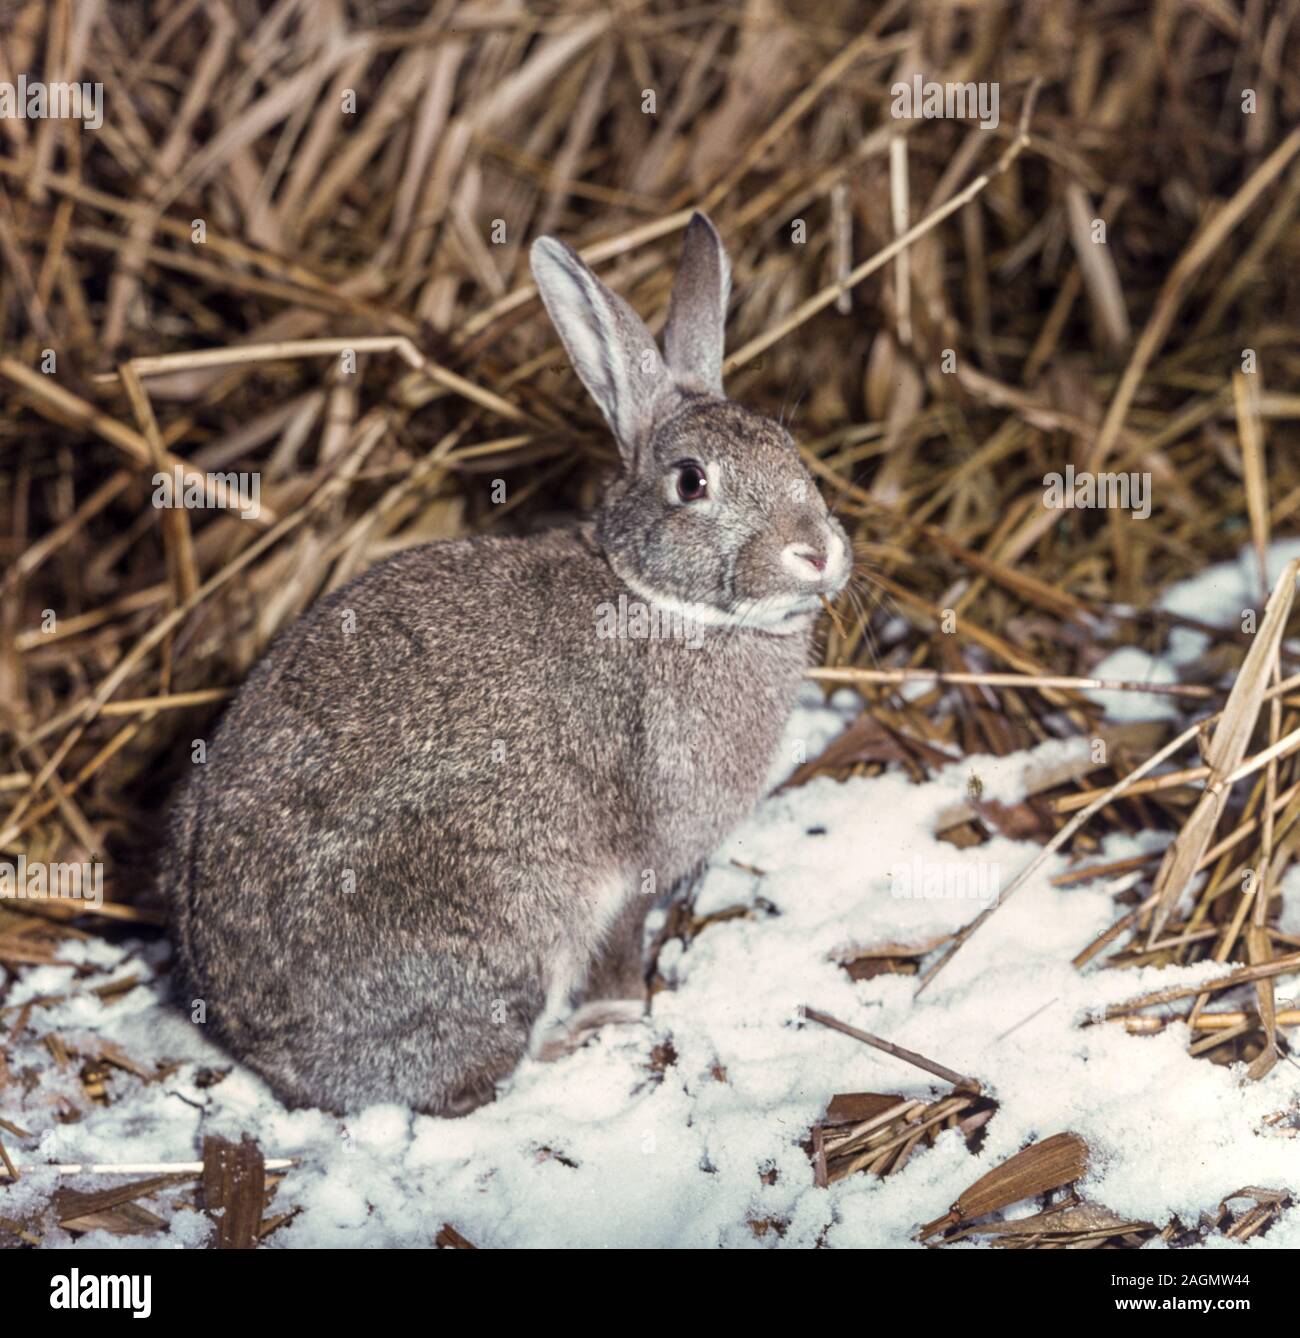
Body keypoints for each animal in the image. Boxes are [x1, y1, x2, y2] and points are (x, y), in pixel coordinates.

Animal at [162, 216, 850, 1118]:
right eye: (691, 482)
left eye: (792, 449)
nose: (818, 552)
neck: (655, 596)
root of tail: (263, 1050)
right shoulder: (636, 864)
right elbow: (621, 953)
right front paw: (624, 1015)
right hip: (501, 928)